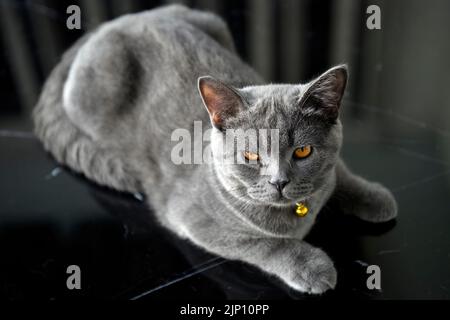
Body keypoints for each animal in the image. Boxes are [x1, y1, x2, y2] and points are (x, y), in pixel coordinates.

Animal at [33, 5, 396, 296]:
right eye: (251, 156)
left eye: (303, 151)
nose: (279, 182)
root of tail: (116, 21)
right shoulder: (194, 219)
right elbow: (264, 242)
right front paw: (312, 266)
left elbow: (340, 173)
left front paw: (376, 197)